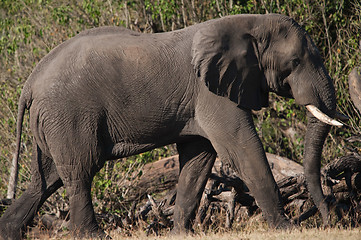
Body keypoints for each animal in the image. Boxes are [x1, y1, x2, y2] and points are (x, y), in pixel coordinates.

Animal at [0, 14, 344, 239]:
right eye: (295, 63)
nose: (329, 220)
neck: (247, 25)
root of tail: (30, 82)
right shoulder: (211, 93)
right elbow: (242, 149)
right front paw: (286, 228)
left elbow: (199, 159)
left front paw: (182, 233)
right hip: (69, 115)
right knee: (80, 171)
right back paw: (93, 236)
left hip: (53, 120)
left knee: (46, 179)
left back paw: (9, 232)